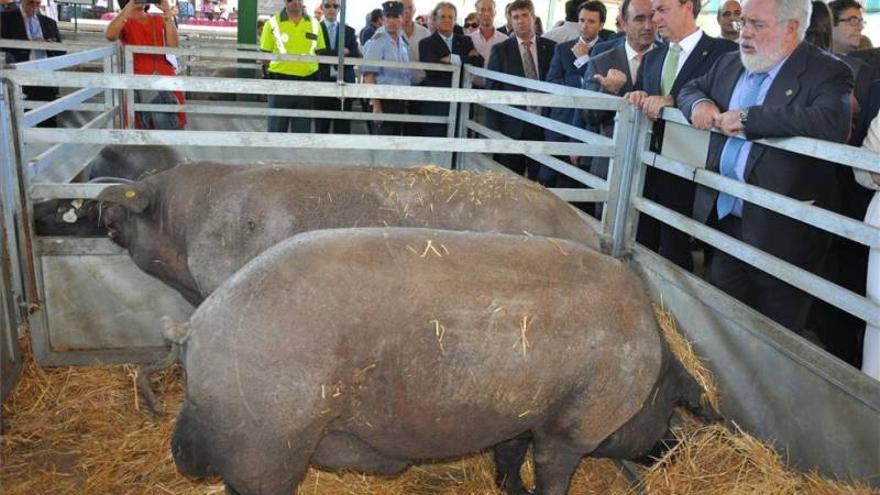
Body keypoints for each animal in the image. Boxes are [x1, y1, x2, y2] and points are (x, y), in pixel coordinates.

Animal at [168, 231, 712, 495]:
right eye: (672, 411)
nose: (675, 449)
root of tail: (197, 325)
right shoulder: (569, 427)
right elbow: (552, 476)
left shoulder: (520, 415)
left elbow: (507, 456)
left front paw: (511, 490)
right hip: (268, 446)